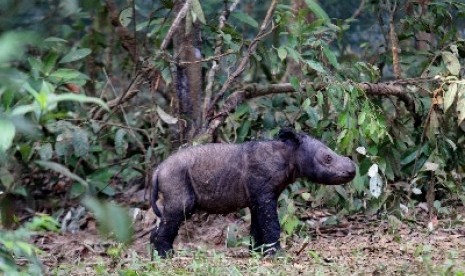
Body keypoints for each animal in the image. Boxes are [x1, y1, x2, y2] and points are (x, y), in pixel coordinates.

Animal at [150, 128, 356, 258]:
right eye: (327, 158)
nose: (352, 170)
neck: (290, 154)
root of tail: (157, 170)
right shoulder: (263, 194)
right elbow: (271, 224)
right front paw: (277, 255)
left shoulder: (259, 197)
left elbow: (258, 225)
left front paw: (257, 253)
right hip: (175, 176)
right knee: (179, 210)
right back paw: (166, 257)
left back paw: (155, 257)